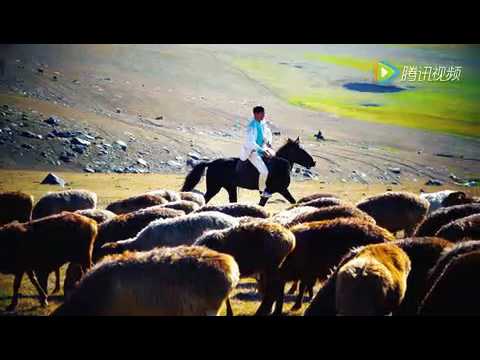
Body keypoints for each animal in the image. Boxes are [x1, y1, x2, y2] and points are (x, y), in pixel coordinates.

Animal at [180, 137, 316, 205]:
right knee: (205, 198)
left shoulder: (277, 191)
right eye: (301, 151)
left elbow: (293, 201)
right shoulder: (279, 190)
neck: (279, 165)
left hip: (230, 188)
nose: (313, 162)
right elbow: (292, 201)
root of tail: (212, 162)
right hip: (214, 188)